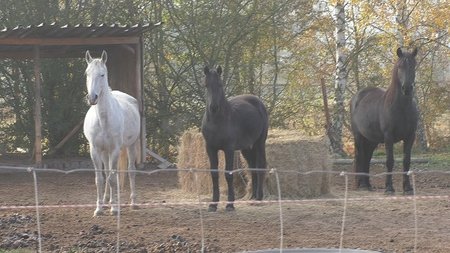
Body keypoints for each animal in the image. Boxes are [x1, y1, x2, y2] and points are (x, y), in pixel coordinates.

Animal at [83, 50, 141, 216]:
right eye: (87, 73)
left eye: (102, 74)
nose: (92, 98)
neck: (103, 120)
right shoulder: (95, 150)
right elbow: (100, 179)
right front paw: (99, 209)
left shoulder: (115, 150)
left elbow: (113, 179)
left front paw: (114, 208)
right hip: (105, 152)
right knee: (107, 173)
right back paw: (107, 200)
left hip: (131, 146)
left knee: (131, 171)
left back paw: (133, 203)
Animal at [200, 65, 268, 211]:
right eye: (206, 85)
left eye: (220, 84)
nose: (214, 107)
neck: (217, 121)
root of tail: (257, 101)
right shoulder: (210, 148)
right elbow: (214, 174)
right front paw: (213, 204)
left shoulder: (229, 149)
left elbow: (228, 174)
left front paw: (230, 204)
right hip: (247, 148)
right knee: (252, 167)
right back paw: (252, 196)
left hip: (260, 143)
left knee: (260, 165)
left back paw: (259, 197)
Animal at [352, 47, 418, 194]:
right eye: (400, 66)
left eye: (414, 66)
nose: (407, 88)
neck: (401, 107)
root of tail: (357, 96)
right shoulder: (389, 137)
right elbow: (389, 161)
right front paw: (389, 188)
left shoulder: (410, 136)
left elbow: (406, 161)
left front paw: (407, 188)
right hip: (359, 137)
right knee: (361, 156)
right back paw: (363, 185)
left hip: (372, 140)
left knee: (367, 158)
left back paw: (368, 185)